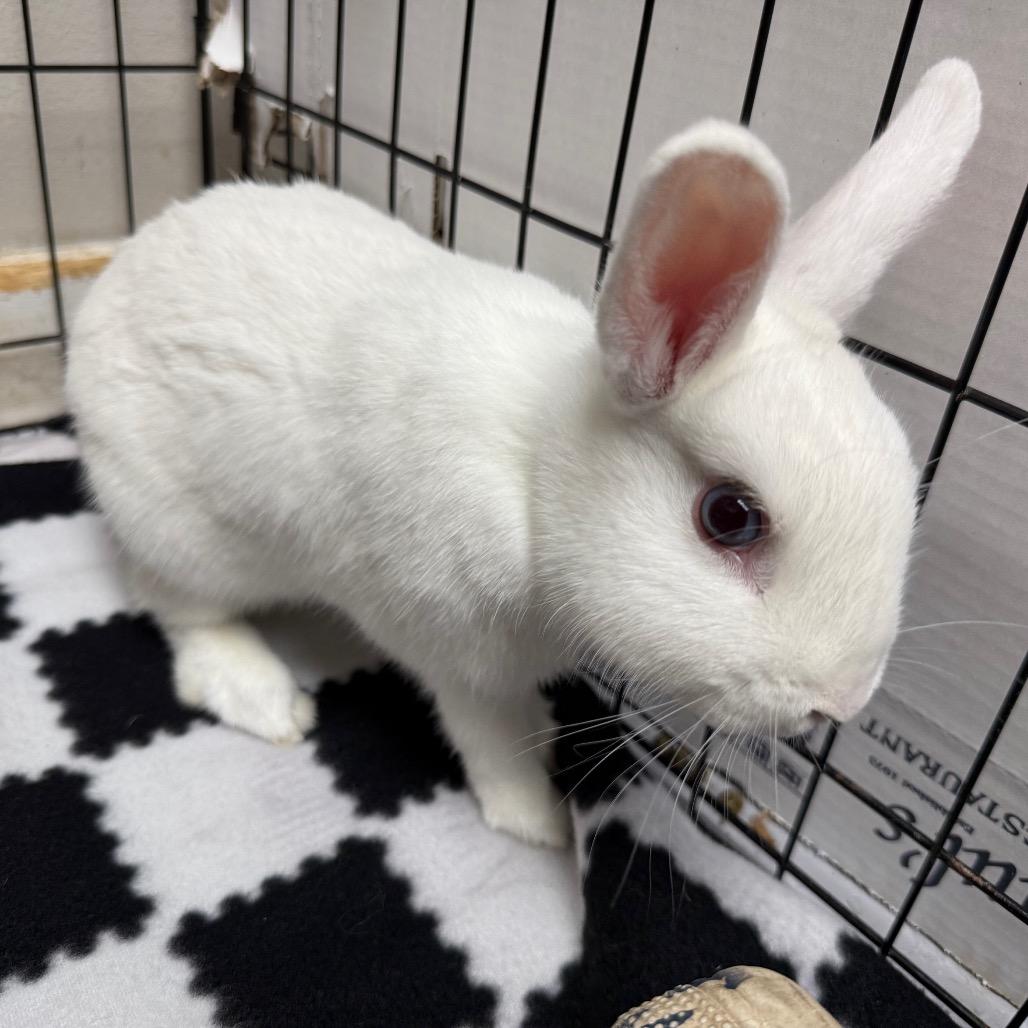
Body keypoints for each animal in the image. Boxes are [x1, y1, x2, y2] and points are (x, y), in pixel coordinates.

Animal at [66, 59, 980, 848]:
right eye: (730, 517)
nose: (843, 701)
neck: (536, 480)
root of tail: (107, 293)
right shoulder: (451, 650)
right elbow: (486, 735)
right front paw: (538, 822)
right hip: (186, 532)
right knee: (177, 609)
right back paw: (262, 696)